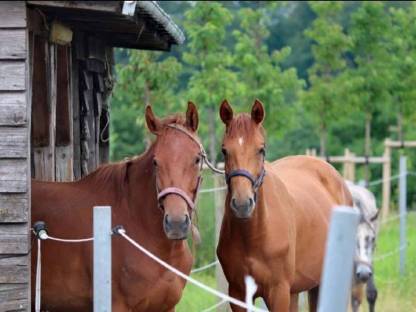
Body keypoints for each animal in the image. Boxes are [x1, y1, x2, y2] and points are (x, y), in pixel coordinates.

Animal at [216, 100, 352, 312]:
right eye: (224, 150)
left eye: (261, 149)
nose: (242, 204)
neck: (255, 235)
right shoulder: (238, 293)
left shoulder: (278, 292)